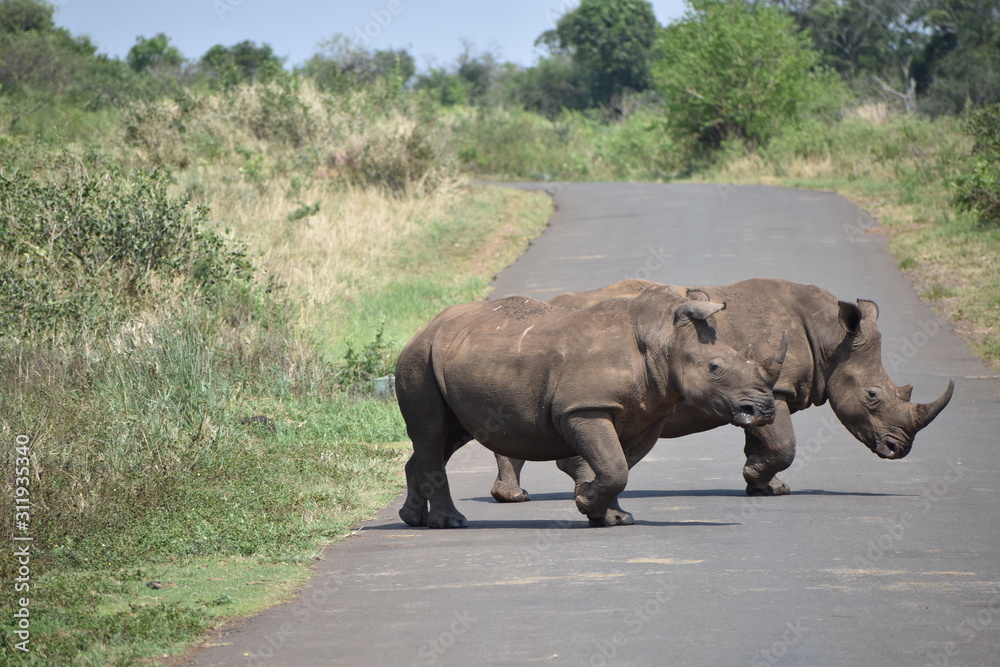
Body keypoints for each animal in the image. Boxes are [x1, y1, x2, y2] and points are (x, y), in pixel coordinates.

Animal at [395, 288, 788, 528]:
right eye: (714, 367)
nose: (764, 410)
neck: (662, 337)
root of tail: (423, 328)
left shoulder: (647, 414)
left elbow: (620, 464)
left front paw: (611, 517)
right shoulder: (584, 408)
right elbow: (613, 465)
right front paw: (586, 501)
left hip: (450, 357)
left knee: (448, 437)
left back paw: (413, 519)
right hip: (418, 360)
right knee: (432, 432)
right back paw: (450, 522)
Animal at [491, 278, 955, 504]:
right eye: (873, 396)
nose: (899, 449)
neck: (830, 337)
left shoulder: (759, 390)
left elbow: (762, 441)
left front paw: (764, 487)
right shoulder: (776, 388)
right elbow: (784, 444)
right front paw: (760, 482)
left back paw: (513, 498)